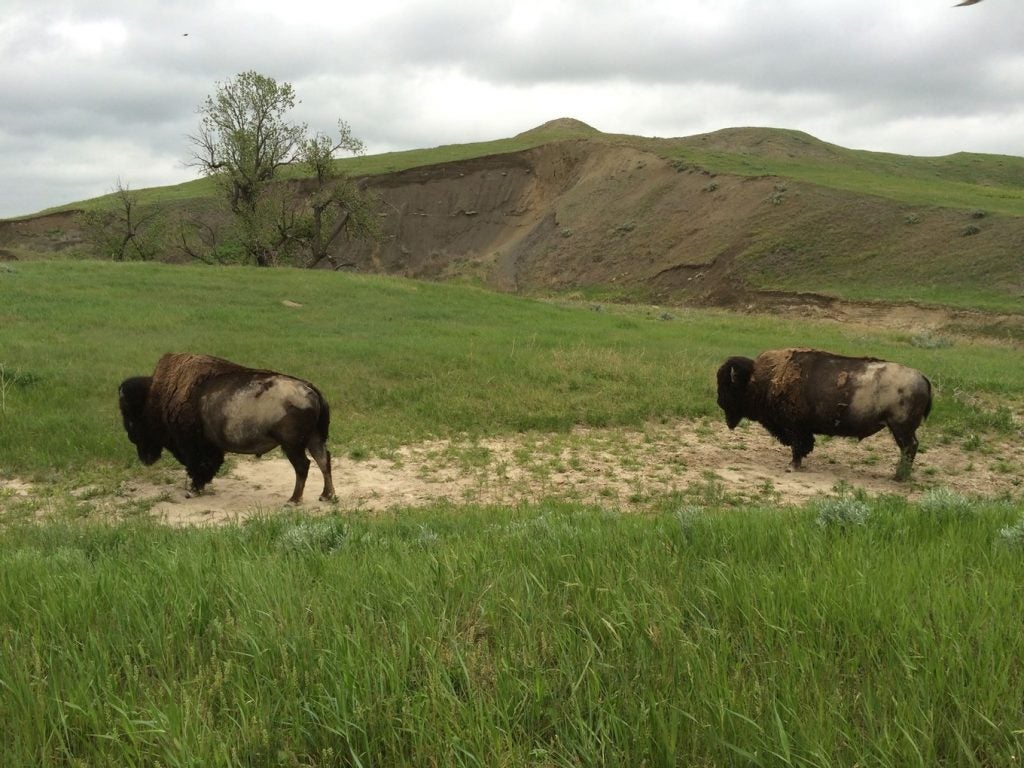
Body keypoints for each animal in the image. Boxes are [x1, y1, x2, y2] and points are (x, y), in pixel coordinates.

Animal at [119, 354, 335, 505]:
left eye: (131, 419)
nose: (130, 437)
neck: (156, 398)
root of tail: (310, 389)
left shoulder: (193, 447)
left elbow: (199, 466)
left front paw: (192, 490)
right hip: (313, 438)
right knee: (323, 460)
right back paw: (326, 496)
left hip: (292, 445)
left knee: (303, 466)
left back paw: (293, 500)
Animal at [716, 350, 933, 481]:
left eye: (729, 385)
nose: (719, 402)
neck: (762, 379)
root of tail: (923, 378)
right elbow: (803, 446)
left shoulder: (795, 428)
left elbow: (798, 446)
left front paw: (792, 466)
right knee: (911, 447)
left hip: (900, 427)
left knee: (909, 447)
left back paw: (899, 476)